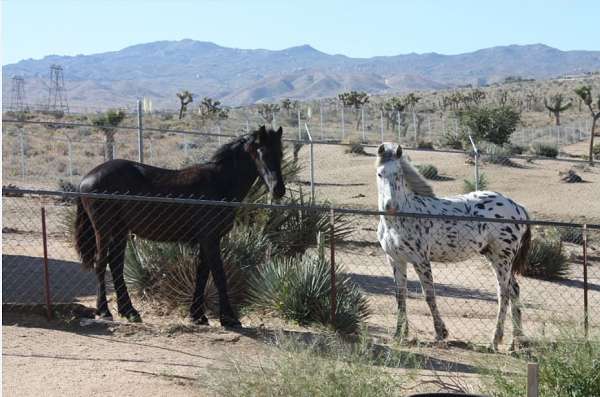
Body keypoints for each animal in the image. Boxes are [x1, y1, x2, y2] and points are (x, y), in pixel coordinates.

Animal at [75, 126, 286, 324]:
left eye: (280, 153)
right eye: (262, 152)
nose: (279, 189)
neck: (219, 183)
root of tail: (86, 179)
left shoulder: (205, 241)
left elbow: (202, 274)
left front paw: (198, 316)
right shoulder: (210, 239)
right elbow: (219, 275)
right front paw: (229, 319)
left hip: (120, 231)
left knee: (116, 265)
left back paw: (130, 312)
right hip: (103, 230)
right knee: (101, 263)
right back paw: (104, 311)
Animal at [376, 143, 528, 350]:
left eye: (398, 174)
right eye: (380, 174)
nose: (389, 206)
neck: (402, 216)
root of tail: (518, 207)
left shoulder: (421, 260)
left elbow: (429, 295)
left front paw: (441, 332)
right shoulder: (395, 259)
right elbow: (400, 295)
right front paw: (399, 334)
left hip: (501, 259)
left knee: (503, 293)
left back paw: (495, 341)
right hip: (496, 257)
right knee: (514, 290)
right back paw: (516, 341)